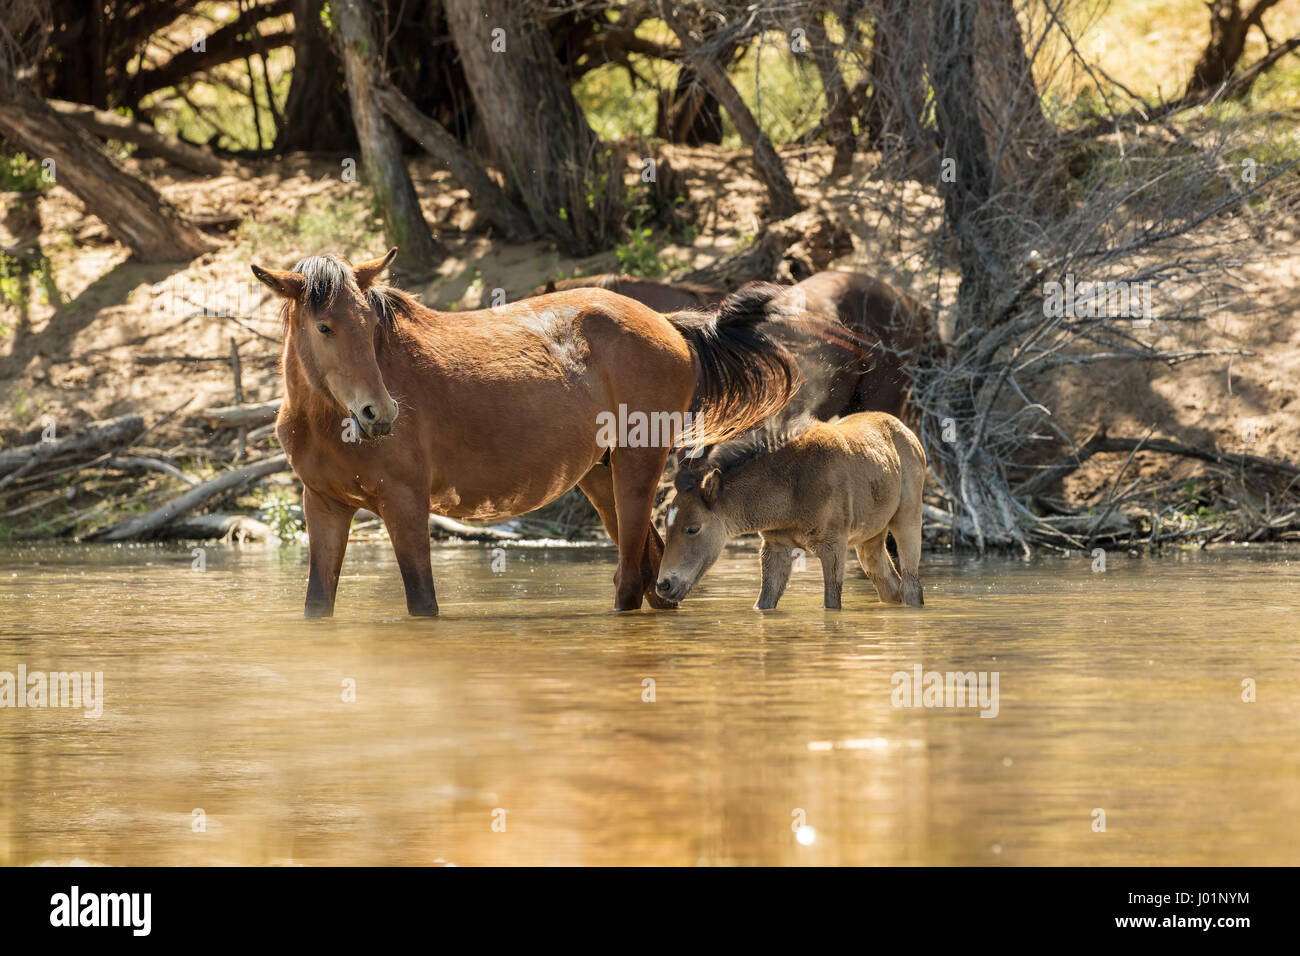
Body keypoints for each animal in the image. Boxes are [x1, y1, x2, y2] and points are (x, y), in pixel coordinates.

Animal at [250, 251, 800, 616]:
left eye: (369, 326)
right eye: (324, 327)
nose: (379, 414)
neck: (324, 422)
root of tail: (668, 324)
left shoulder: (404, 504)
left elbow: (422, 602)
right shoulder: (324, 505)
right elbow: (317, 604)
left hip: (636, 471)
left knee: (630, 578)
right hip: (600, 478)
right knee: (650, 573)